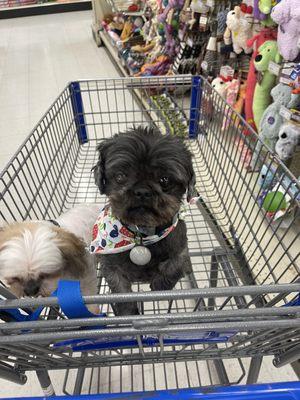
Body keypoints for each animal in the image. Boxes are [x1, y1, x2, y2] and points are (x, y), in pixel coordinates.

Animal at [92, 126, 196, 314]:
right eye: (120, 176)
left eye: (165, 179)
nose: (142, 191)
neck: (143, 232)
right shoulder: (110, 266)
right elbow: (121, 293)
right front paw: (127, 313)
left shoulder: (181, 249)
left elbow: (174, 268)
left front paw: (159, 286)